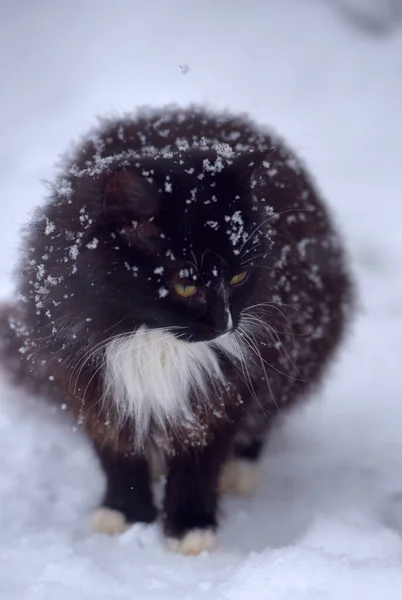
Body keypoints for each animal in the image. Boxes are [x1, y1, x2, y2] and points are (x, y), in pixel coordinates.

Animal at [0, 105, 352, 556]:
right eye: (185, 285)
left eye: (238, 277)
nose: (225, 324)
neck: (151, 340)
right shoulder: (88, 377)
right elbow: (116, 448)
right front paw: (126, 513)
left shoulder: (225, 388)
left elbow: (201, 458)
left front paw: (190, 529)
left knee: (263, 418)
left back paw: (238, 470)